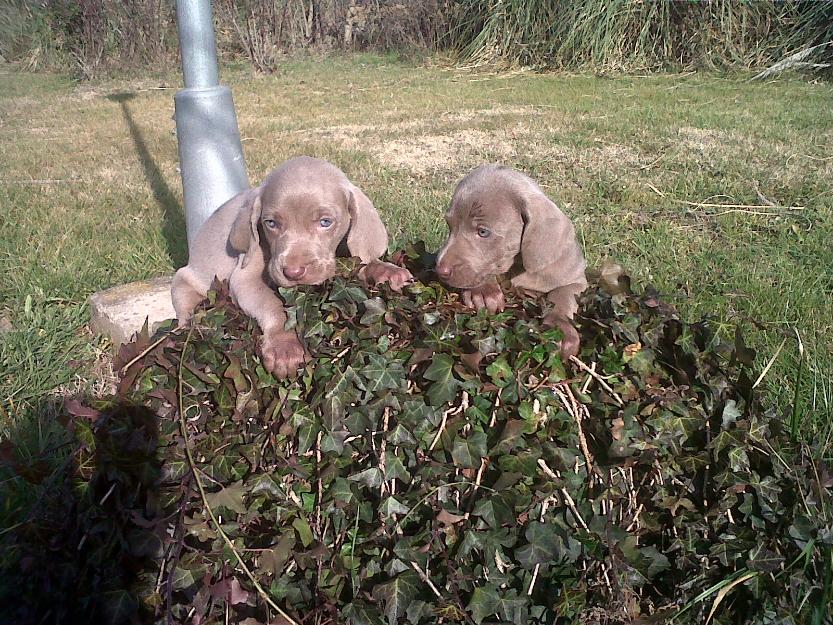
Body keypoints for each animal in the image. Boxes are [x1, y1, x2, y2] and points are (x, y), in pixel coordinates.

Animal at [173, 156, 412, 378]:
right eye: (270, 223)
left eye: (325, 222)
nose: (293, 273)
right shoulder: (244, 276)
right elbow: (273, 304)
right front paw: (284, 346)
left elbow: (361, 260)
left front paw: (386, 270)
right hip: (183, 281)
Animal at [436, 165, 584, 356]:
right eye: (449, 225)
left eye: (483, 232)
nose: (440, 270)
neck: (518, 266)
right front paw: (484, 291)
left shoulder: (576, 279)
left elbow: (562, 295)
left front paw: (560, 327)